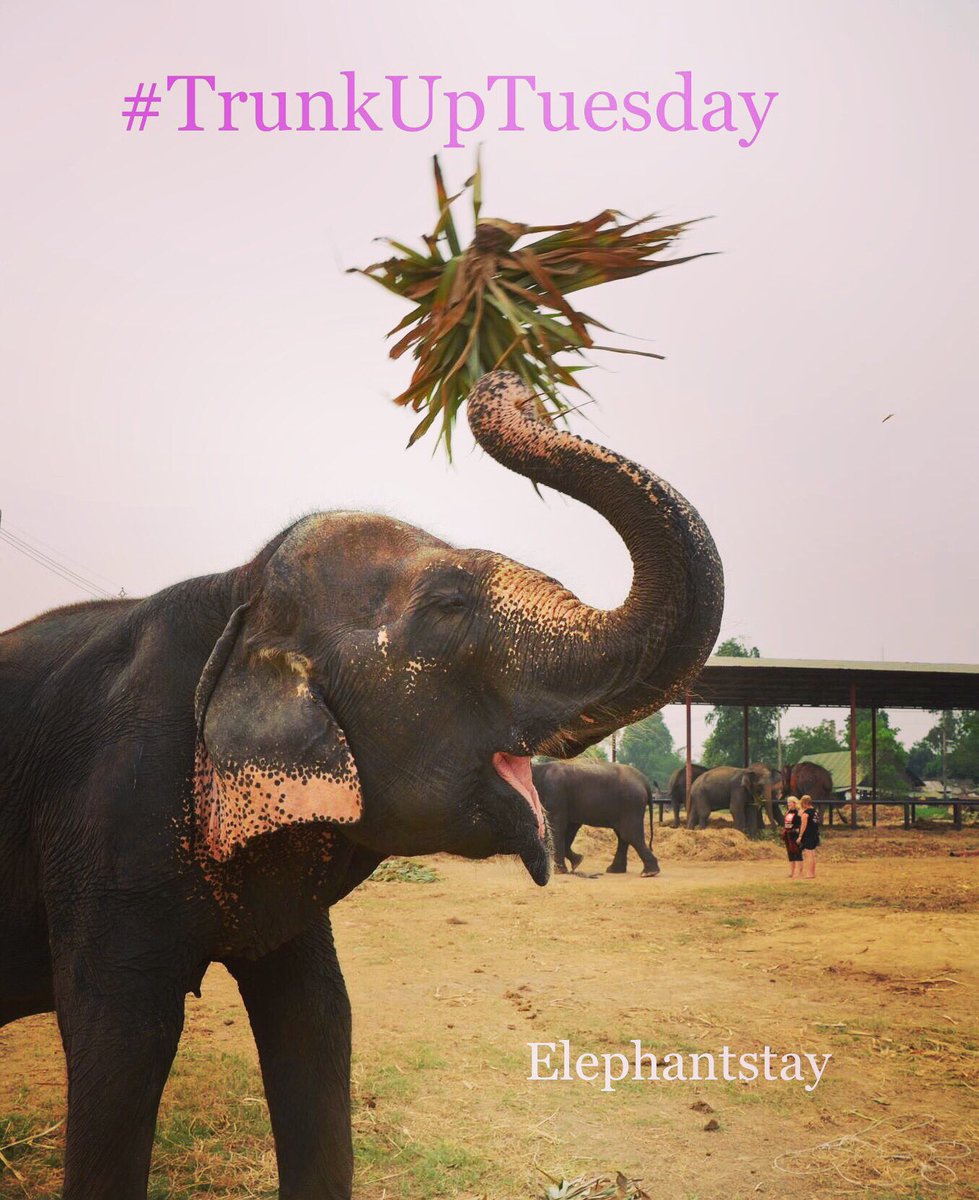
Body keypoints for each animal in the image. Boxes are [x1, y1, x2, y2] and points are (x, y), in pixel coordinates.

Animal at [531, 760, 660, 876]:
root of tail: (644, 781)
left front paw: (560, 871)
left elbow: (557, 828)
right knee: (623, 835)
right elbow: (570, 829)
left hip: (631, 804)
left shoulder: (556, 795)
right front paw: (578, 861)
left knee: (629, 834)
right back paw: (615, 870)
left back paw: (649, 873)